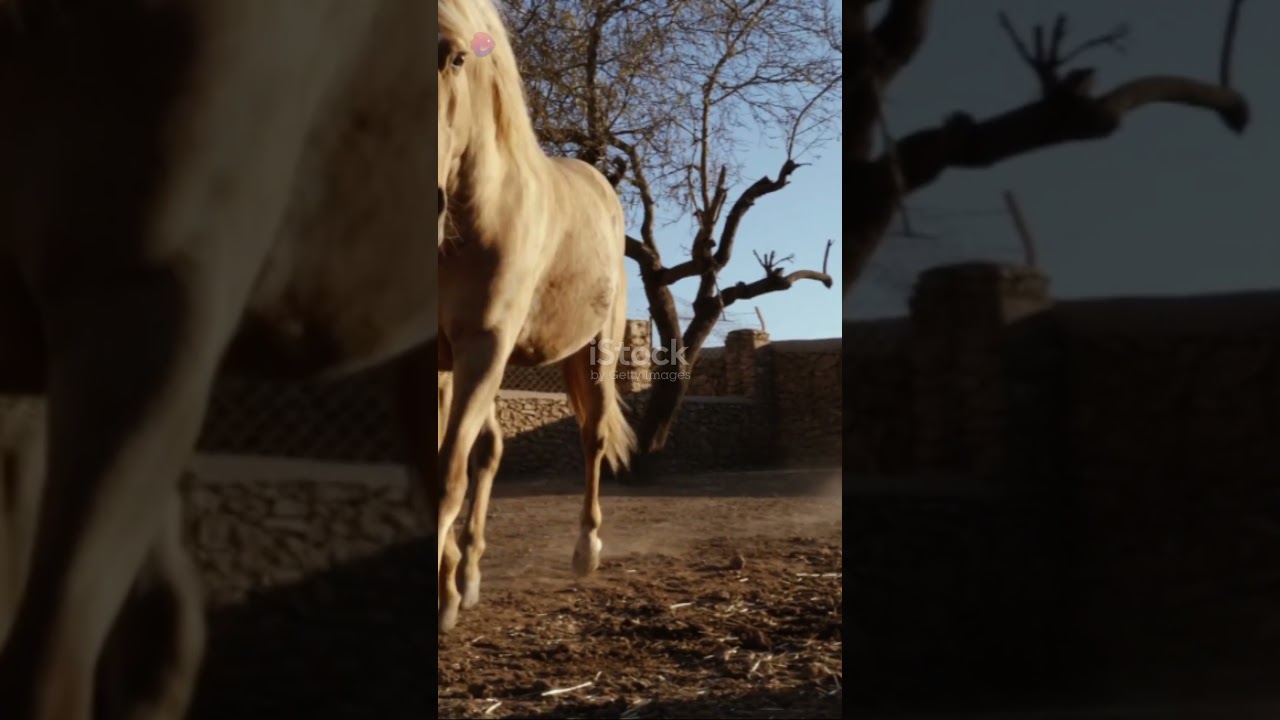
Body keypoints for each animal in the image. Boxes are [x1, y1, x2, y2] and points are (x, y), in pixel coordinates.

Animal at [437, 0, 636, 633]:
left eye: (456, 57)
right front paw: (453, 584)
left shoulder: (482, 347)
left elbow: (449, 474)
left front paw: (443, 600)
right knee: (492, 450)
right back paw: (470, 573)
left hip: (597, 354)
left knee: (592, 437)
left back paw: (585, 551)